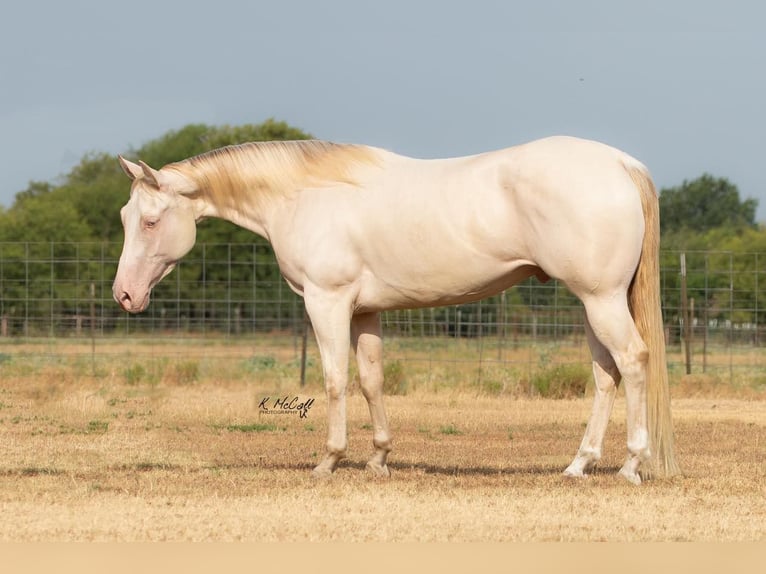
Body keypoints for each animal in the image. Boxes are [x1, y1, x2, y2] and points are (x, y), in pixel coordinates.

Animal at [115, 136, 684, 486]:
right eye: (124, 216)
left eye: (149, 221)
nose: (124, 296)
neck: (305, 196)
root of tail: (620, 165)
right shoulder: (365, 312)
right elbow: (372, 380)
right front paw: (378, 459)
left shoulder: (327, 302)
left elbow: (335, 380)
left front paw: (329, 461)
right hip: (594, 303)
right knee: (606, 374)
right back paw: (579, 464)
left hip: (601, 299)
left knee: (633, 361)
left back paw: (631, 464)